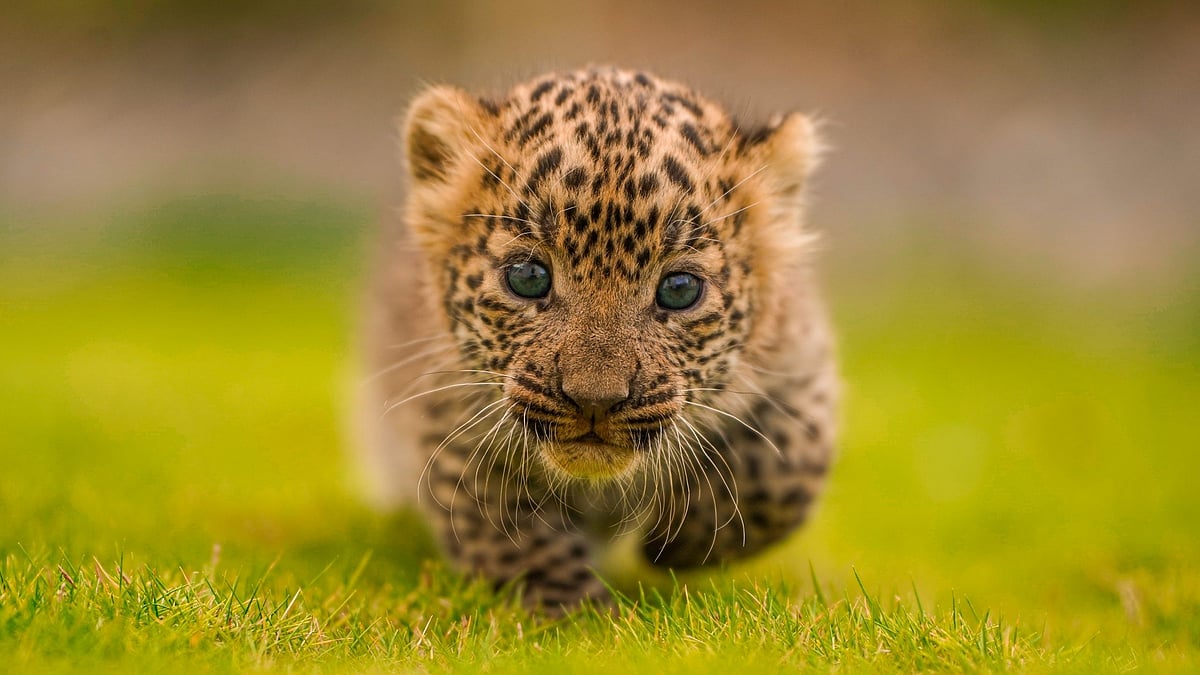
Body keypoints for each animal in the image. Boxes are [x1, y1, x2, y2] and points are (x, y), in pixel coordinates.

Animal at [357, 66, 838, 614]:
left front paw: (684, 541)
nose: (595, 401)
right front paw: (571, 612)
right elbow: (507, 525)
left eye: (679, 289)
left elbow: (789, 463)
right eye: (527, 277)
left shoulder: (799, 362)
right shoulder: (448, 409)